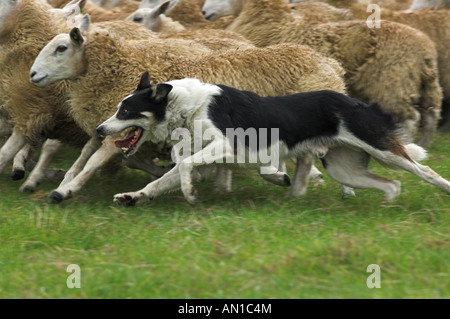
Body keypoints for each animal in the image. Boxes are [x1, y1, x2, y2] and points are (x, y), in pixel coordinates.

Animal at [96, 72, 450, 208]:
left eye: (125, 110)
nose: (99, 129)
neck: (185, 108)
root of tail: (360, 103)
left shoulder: (227, 145)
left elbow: (184, 169)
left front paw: (191, 194)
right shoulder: (204, 158)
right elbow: (158, 182)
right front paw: (132, 197)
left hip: (382, 149)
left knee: (424, 172)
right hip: (345, 169)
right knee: (393, 184)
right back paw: (387, 204)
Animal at [202, 0, 442, 149]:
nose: (204, 12)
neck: (273, 21)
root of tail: (426, 48)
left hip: (392, 80)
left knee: (411, 117)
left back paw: (408, 143)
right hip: (423, 82)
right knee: (430, 115)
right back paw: (424, 146)